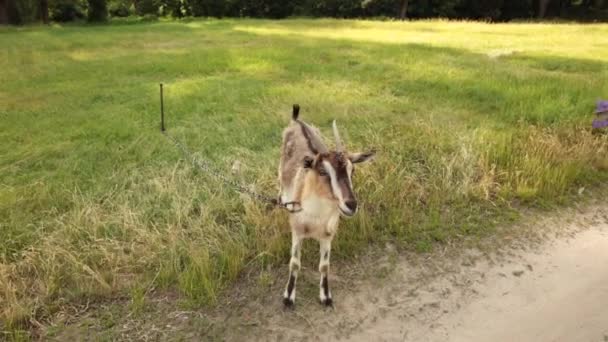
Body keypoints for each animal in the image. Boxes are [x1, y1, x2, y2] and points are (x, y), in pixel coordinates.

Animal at [280, 104, 376, 308]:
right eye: (323, 171)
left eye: (352, 170)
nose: (351, 204)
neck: (314, 215)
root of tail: (296, 119)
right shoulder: (297, 231)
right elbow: (295, 262)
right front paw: (288, 297)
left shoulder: (328, 235)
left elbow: (324, 266)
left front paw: (326, 296)